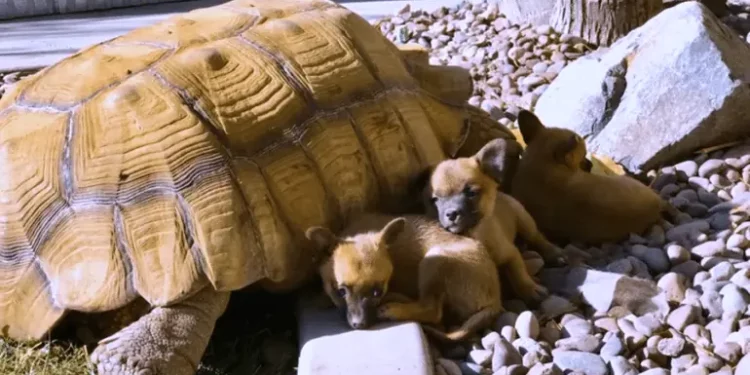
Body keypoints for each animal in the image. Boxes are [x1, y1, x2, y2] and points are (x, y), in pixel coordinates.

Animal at [306, 212, 506, 344]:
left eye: (377, 292)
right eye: (340, 291)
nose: (360, 324)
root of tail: (496, 300)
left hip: (434, 260)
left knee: (432, 310)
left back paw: (395, 309)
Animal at [424, 138, 564, 306]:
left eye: (471, 193)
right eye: (434, 200)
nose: (451, 213)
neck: (474, 234)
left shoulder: (511, 254)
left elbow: (519, 273)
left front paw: (530, 289)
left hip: (525, 221)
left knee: (537, 237)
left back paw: (553, 253)